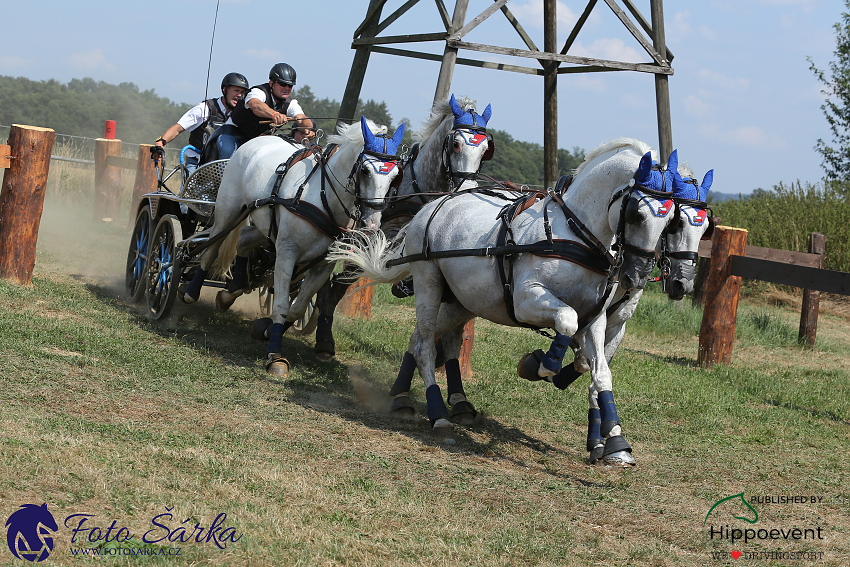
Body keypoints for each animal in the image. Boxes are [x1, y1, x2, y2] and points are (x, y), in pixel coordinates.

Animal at [328, 139, 684, 466]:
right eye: (637, 214)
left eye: (671, 220)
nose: (639, 275)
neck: (574, 234)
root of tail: (431, 207)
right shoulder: (527, 299)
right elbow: (566, 320)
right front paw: (539, 365)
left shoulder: (597, 319)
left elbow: (597, 370)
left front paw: (615, 441)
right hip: (429, 282)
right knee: (426, 345)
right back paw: (438, 413)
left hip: (463, 301)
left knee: (425, 339)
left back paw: (414, 397)